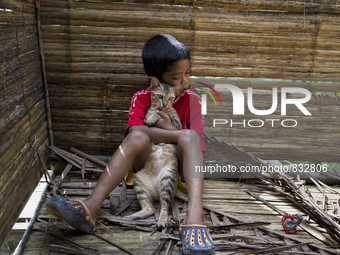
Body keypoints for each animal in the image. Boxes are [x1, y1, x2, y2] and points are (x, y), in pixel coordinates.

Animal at [126, 76, 182, 228]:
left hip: (167, 180)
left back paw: (162, 221)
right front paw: (152, 116)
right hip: (138, 181)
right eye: (160, 96)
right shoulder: (145, 120)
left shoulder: (176, 124)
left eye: (170, 98)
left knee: (165, 206)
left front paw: (155, 117)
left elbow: (161, 118)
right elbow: (151, 117)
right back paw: (132, 216)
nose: (164, 104)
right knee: (149, 208)